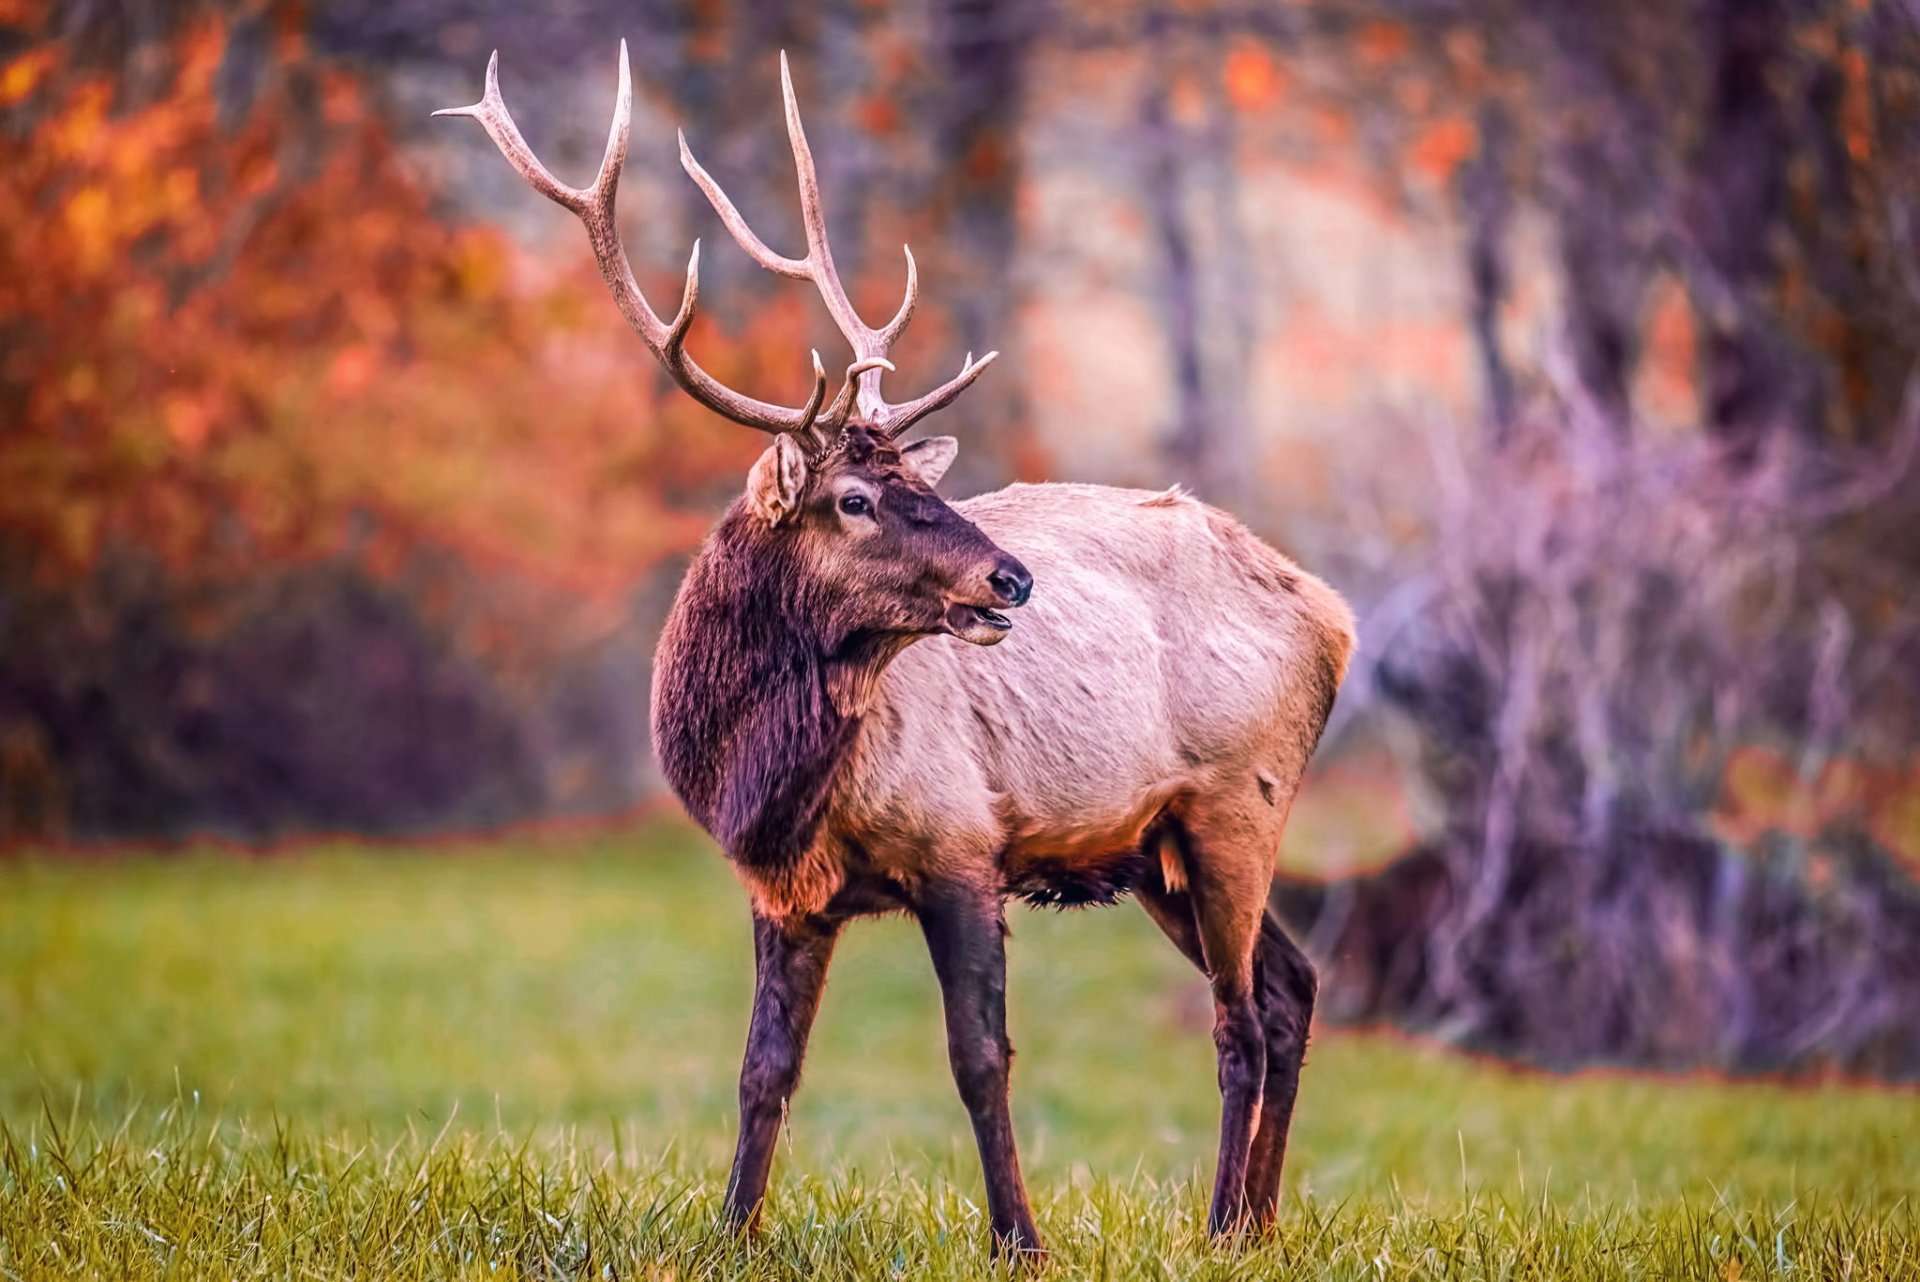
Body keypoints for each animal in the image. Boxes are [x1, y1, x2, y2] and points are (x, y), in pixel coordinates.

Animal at [439, 43, 1356, 1261]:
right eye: (858, 498)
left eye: (922, 486)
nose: (1012, 576)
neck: (765, 781)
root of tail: (1336, 617)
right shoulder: (780, 891)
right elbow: (764, 1071)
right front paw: (732, 1233)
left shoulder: (961, 842)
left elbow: (979, 1060)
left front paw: (1020, 1240)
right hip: (1158, 841)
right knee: (1291, 988)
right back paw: (1254, 1227)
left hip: (1237, 801)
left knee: (1242, 1018)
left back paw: (1217, 1227)